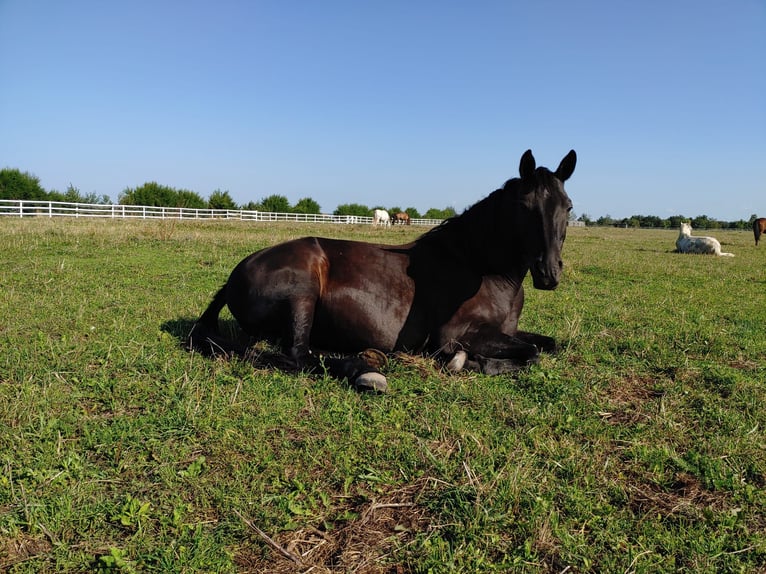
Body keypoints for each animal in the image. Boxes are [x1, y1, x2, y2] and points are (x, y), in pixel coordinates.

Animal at [189, 149, 577, 392]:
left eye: (568, 206)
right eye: (524, 206)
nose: (548, 274)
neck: (481, 269)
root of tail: (236, 274)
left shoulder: (506, 330)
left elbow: (547, 345)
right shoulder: (454, 334)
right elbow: (531, 353)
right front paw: (468, 362)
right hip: (302, 296)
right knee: (297, 355)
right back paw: (365, 372)